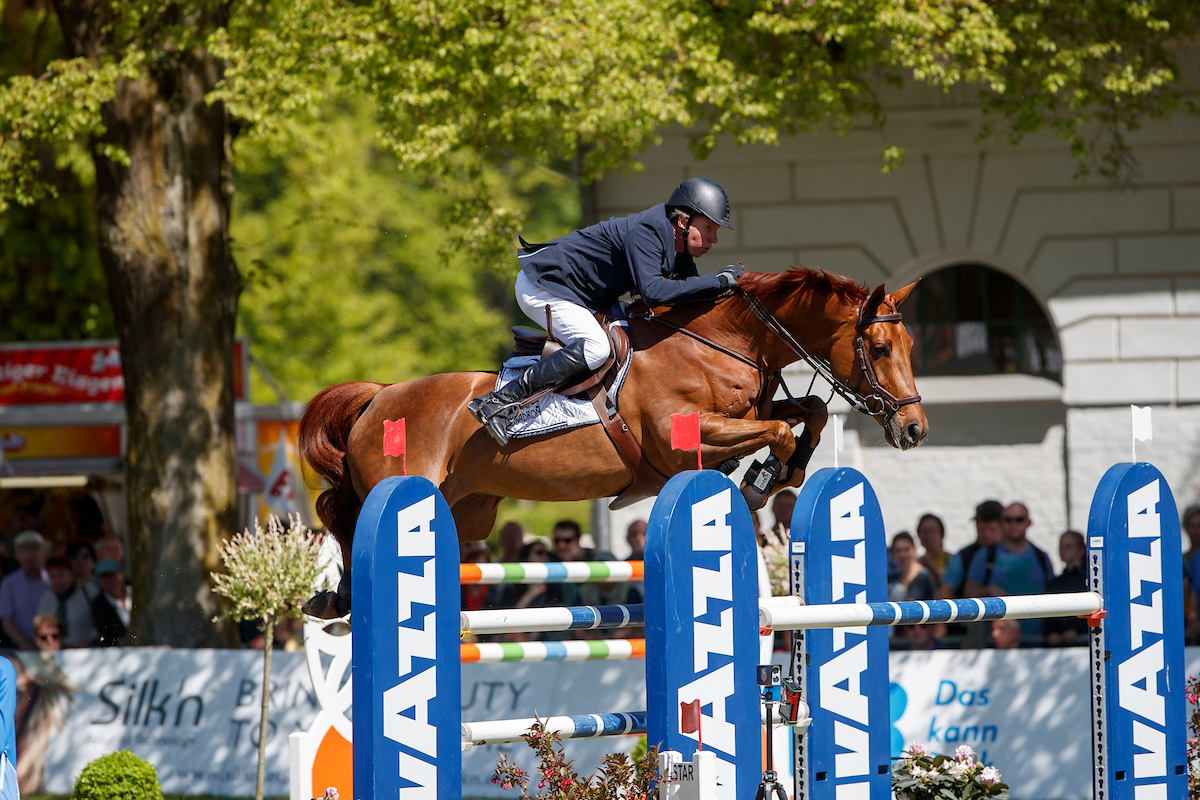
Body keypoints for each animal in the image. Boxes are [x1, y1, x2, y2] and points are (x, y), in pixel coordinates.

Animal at [297, 268, 926, 614]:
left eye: (912, 346)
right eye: (880, 349)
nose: (914, 430)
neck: (721, 342)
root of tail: (379, 397)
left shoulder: (751, 409)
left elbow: (809, 411)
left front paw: (785, 470)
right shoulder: (683, 439)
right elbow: (776, 431)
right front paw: (763, 480)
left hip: (463, 506)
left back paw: (336, 599)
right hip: (401, 484)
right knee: (344, 519)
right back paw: (340, 599)